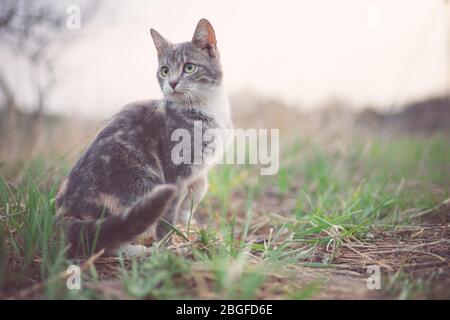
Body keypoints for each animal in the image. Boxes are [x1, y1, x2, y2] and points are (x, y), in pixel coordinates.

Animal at [56, 18, 232, 258]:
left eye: (189, 67)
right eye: (165, 71)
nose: (173, 82)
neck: (205, 109)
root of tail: (65, 214)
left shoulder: (198, 177)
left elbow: (189, 205)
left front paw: (190, 234)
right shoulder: (175, 175)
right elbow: (168, 217)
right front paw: (171, 245)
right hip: (144, 183)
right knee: (109, 240)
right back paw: (142, 250)